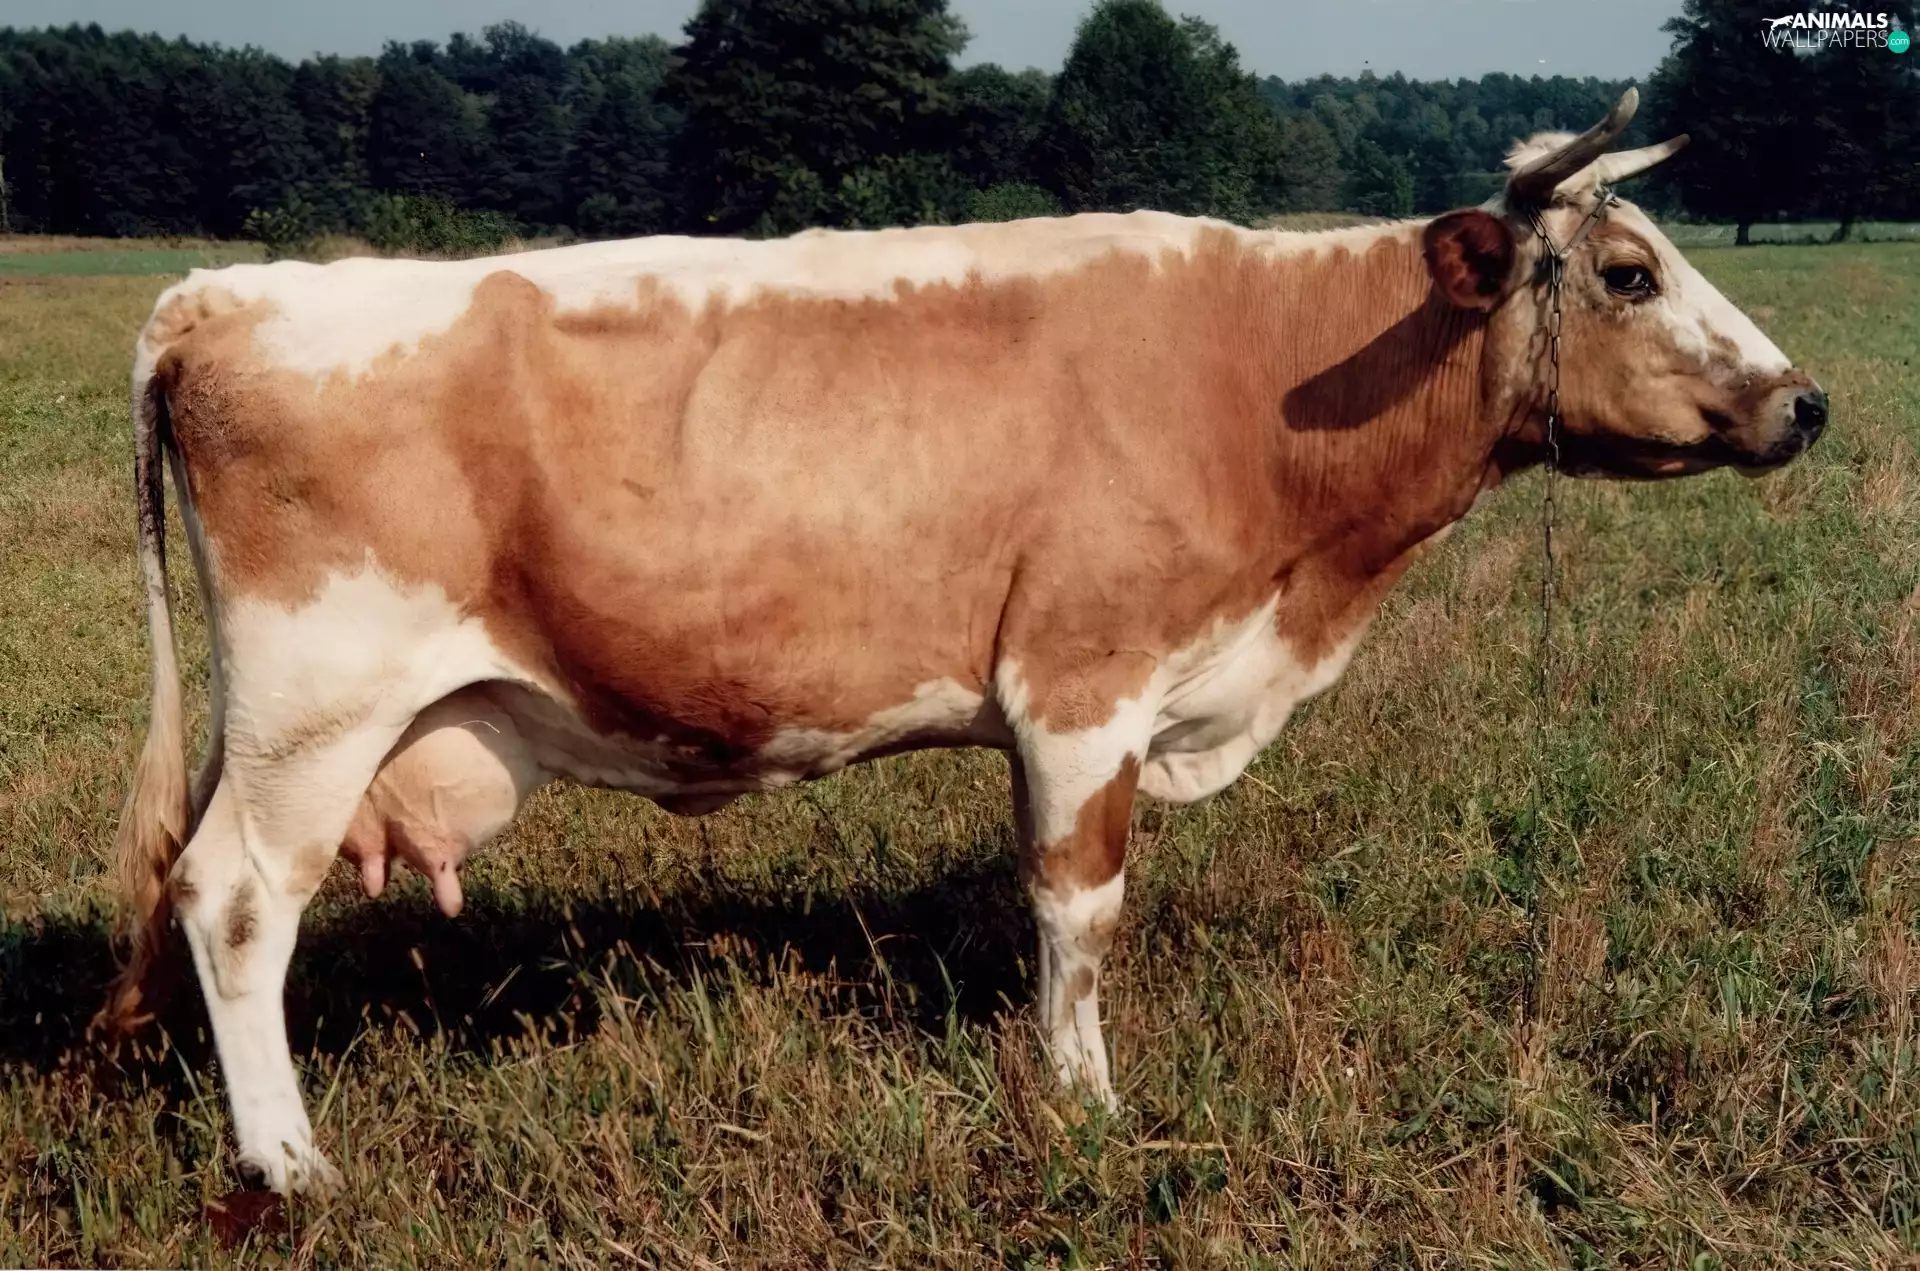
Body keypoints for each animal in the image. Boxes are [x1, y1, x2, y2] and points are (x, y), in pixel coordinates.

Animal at [98, 89, 1826, 1195]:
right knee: (235, 899)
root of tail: (221, 295)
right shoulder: (1082, 686)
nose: (1803, 399)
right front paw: (1086, 1108)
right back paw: (291, 1161)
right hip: (315, 702)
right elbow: (1079, 911)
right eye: (1629, 270)